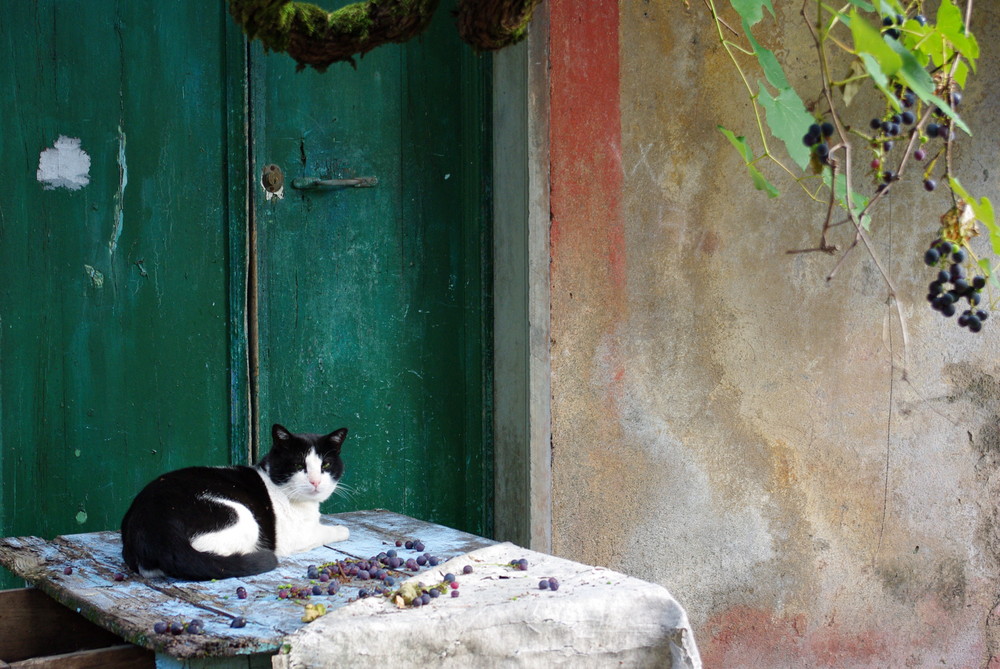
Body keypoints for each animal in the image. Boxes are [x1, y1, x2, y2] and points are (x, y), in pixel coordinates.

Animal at [121, 422, 352, 580]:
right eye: (297, 465)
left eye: (326, 465)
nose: (315, 481)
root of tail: (156, 526)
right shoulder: (296, 537)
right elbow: (323, 532)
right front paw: (341, 529)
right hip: (241, 516)